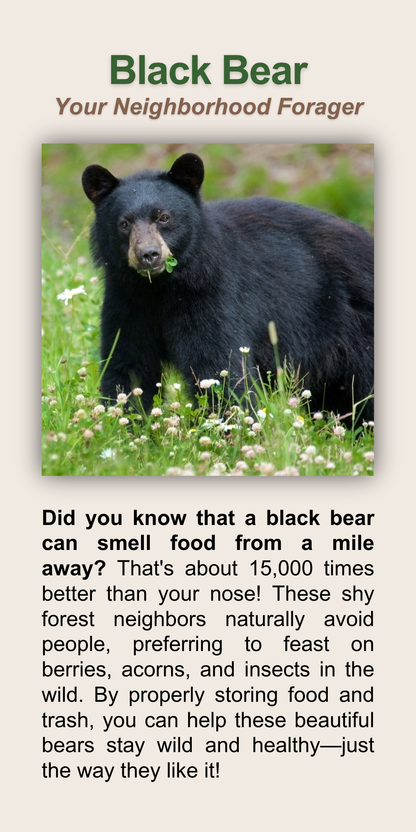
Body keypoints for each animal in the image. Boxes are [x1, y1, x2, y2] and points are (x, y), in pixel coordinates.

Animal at [82, 152, 374, 422]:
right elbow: (128, 363)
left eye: (163, 217)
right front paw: (122, 425)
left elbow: (217, 364)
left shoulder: (212, 294)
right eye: (124, 223)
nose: (149, 254)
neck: (160, 288)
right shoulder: (126, 300)